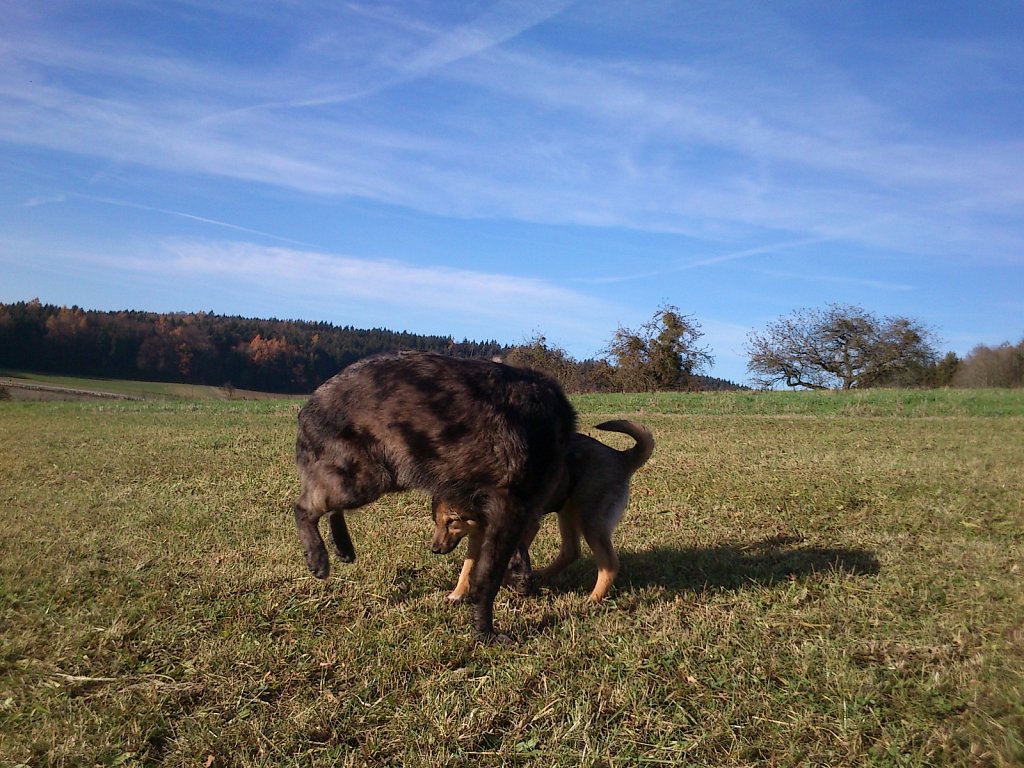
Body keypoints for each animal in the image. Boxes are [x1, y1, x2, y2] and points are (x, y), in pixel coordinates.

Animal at [292, 354, 577, 643]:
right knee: (303, 507)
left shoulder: (507, 516)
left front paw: (520, 579)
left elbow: (516, 553)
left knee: (329, 505)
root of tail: (312, 403)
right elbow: (488, 579)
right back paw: (317, 556)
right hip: (367, 479)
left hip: (371, 478)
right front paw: (484, 630)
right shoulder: (508, 509)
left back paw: (342, 546)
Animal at [432, 421, 655, 606]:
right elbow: (468, 566)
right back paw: (543, 575)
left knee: (609, 564)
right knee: (571, 551)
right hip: (567, 512)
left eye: (452, 521)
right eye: (437, 521)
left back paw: (593, 599)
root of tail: (621, 456)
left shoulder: (527, 526)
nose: (434, 550)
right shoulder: (477, 534)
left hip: (590, 520)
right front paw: (457, 594)